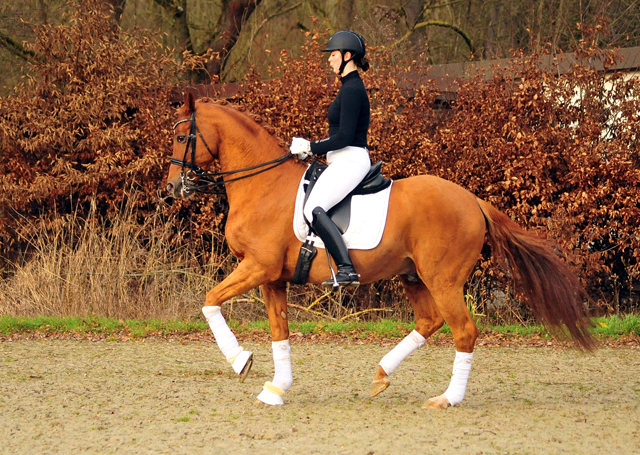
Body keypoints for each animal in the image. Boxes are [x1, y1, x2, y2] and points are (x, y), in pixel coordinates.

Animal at [166, 93, 596, 410]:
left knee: (464, 331)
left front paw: (240, 360)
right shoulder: (272, 278)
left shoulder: (257, 267)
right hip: (413, 275)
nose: (172, 189)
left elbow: (209, 300)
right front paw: (276, 389)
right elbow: (279, 333)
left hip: (443, 280)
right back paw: (382, 375)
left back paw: (447, 399)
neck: (263, 185)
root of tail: (473, 201)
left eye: (181, 137)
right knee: (429, 322)